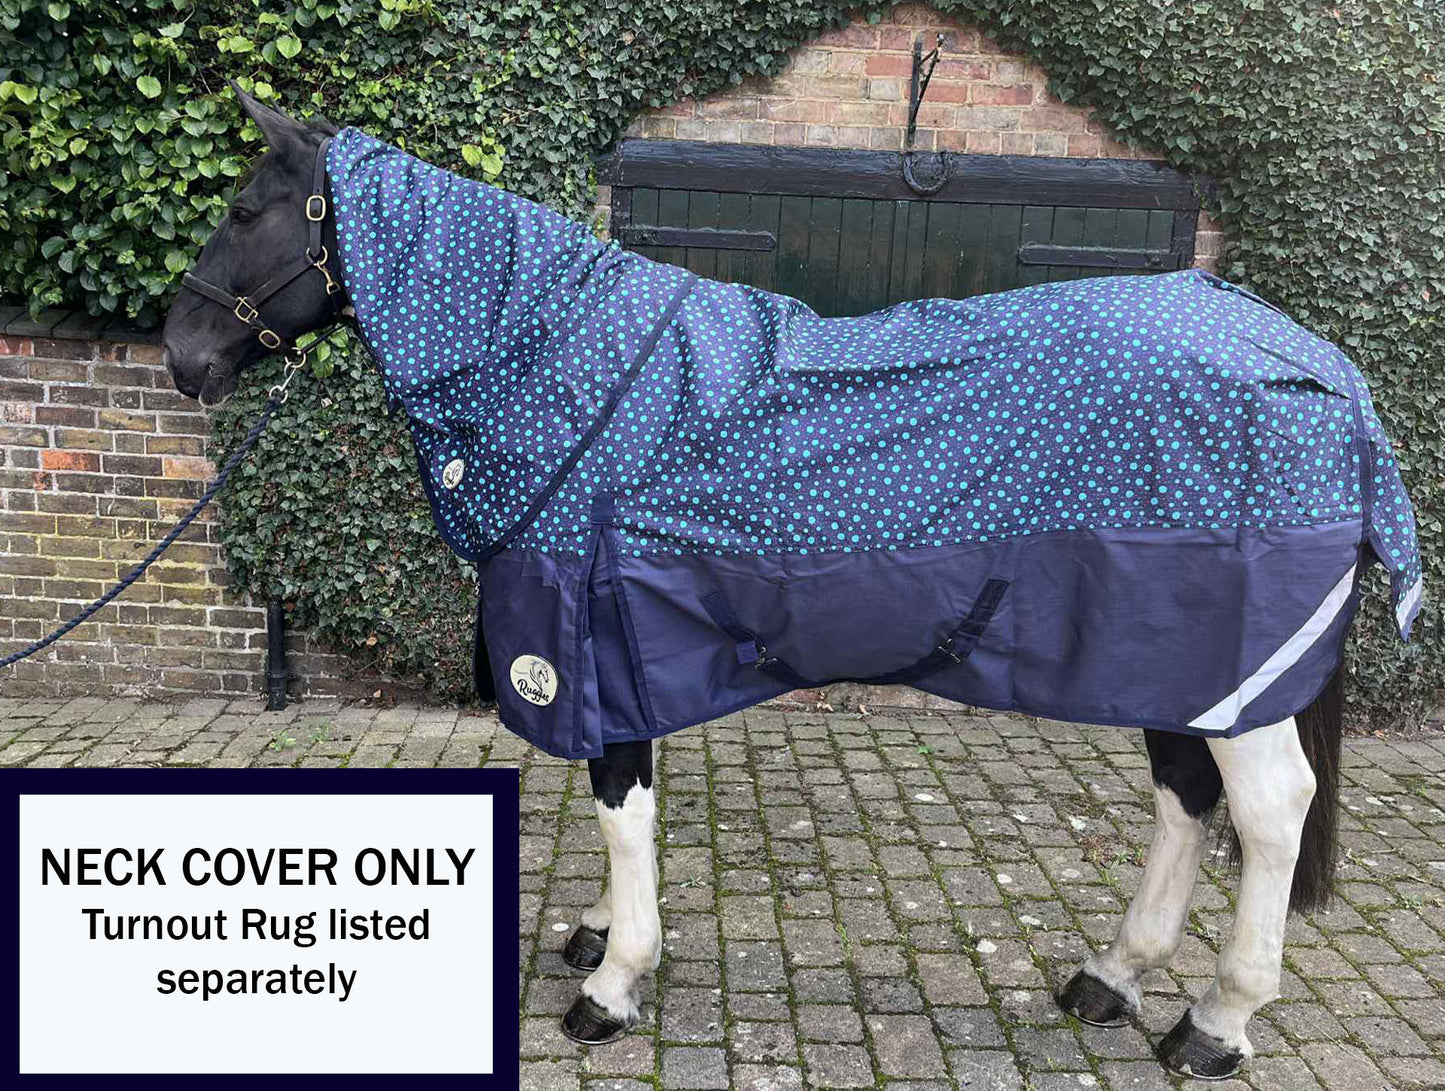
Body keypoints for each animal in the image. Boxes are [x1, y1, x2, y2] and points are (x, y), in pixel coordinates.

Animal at [161, 87, 1422, 1079]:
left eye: (243, 210)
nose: (181, 355)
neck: (574, 377)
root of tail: (1318, 369)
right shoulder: (627, 647)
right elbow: (629, 800)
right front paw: (600, 937)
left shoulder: (588, 634)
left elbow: (619, 806)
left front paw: (609, 985)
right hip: (1173, 661)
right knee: (1183, 798)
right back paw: (1109, 975)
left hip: (1235, 668)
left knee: (1266, 813)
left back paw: (1213, 1021)